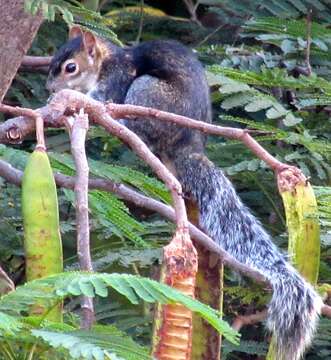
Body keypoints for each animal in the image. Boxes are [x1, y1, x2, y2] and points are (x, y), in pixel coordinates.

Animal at [47, 26, 324, 358]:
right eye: (54, 59)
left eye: (70, 67)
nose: (49, 88)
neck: (106, 61)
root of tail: (187, 143)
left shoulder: (116, 79)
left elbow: (101, 98)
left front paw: (71, 99)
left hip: (147, 90)